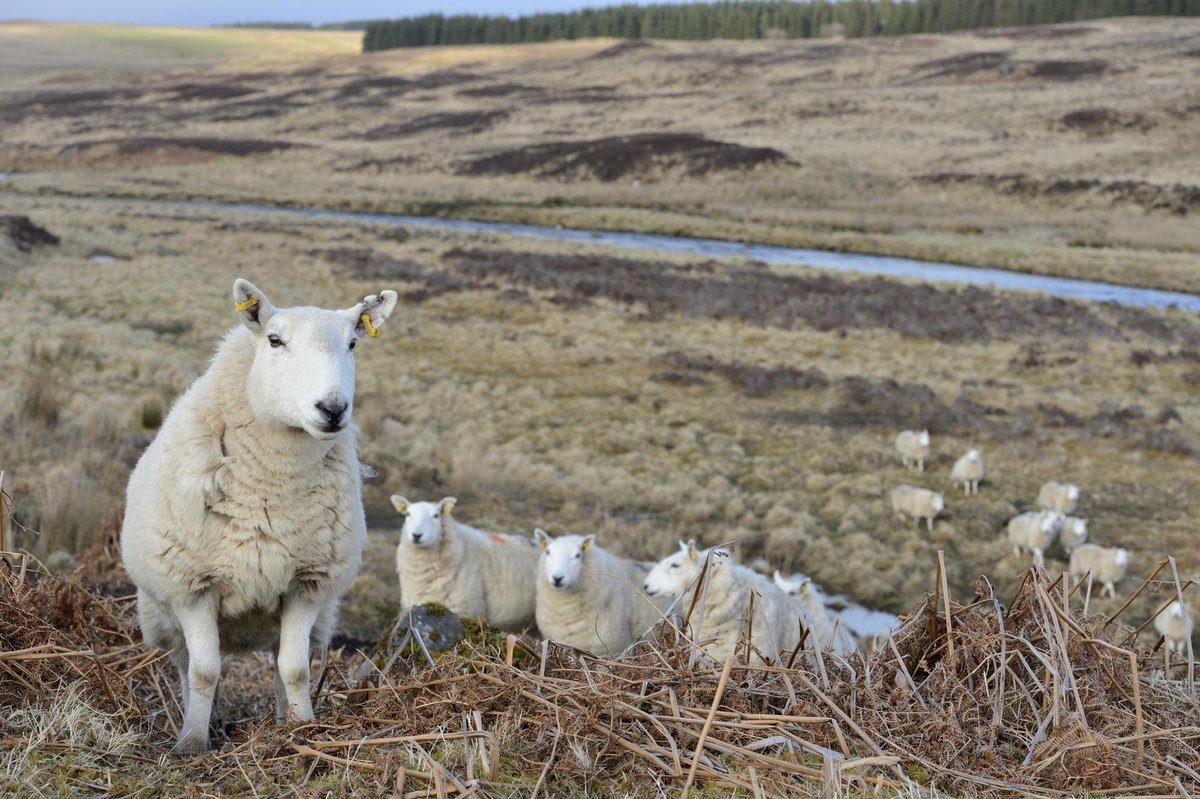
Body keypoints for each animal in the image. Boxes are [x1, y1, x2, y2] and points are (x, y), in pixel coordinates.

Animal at [120, 279, 397, 753]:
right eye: (274, 340)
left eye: (353, 343)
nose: (332, 409)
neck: (275, 483)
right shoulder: (193, 587)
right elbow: (204, 671)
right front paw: (192, 743)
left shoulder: (307, 582)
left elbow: (295, 669)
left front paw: (301, 727)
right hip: (161, 615)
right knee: (184, 663)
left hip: (297, 618)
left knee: (277, 664)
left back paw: (282, 717)